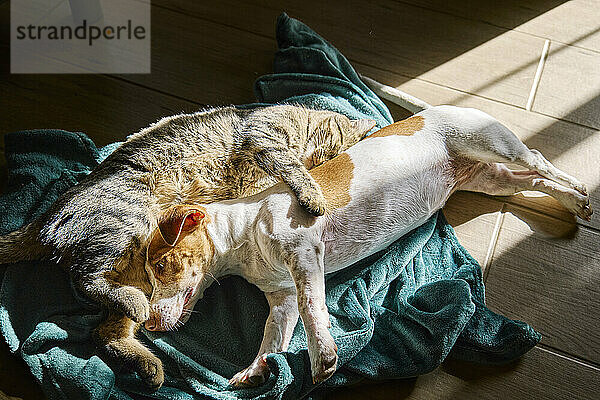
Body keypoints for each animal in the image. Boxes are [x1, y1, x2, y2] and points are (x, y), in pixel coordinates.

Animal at [0, 104, 376, 390]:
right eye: (334, 152)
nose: (322, 165)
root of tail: (44, 217)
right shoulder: (264, 136)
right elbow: (290, 166)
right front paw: (313, 193)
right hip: (130, 220)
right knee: (87, 278)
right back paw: (133, 311)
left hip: (138, 272)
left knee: (105, 331)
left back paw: (148, 363)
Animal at [139, 78, 592, 388]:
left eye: (161, 265)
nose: (149, 326)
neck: (244, 235)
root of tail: (441, 108)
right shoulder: (282, 298)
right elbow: (273, 338)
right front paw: (254, 371)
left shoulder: (304, 254)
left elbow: (313, 309)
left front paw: (323, 356)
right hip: (492, 179)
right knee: (532, 181)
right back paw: (573, 202)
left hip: (494, 145)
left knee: (539, 160)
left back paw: (580, 191)